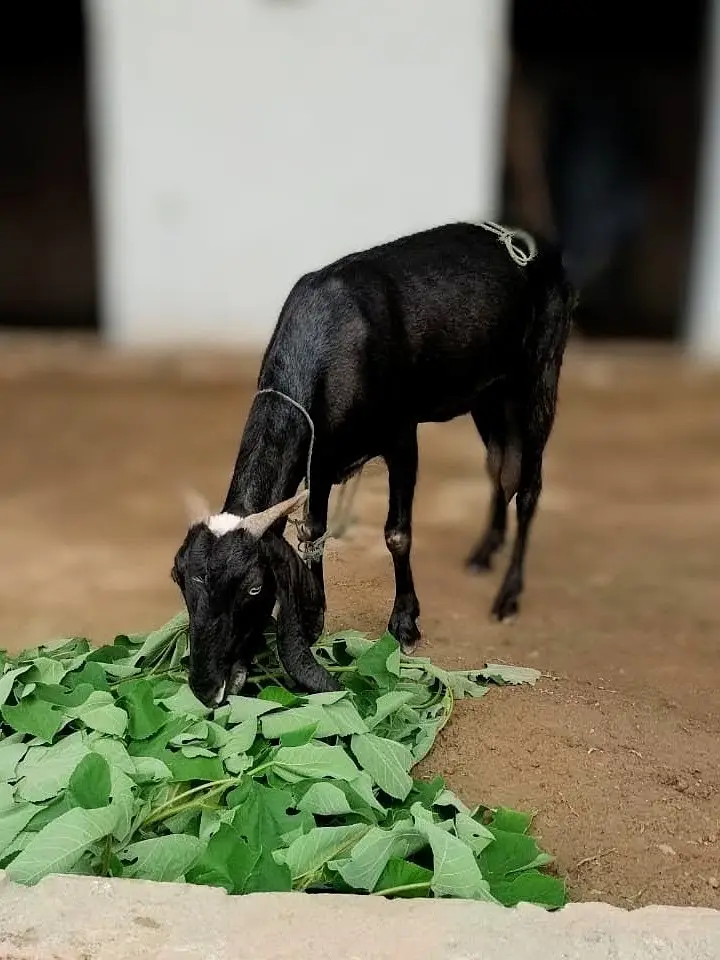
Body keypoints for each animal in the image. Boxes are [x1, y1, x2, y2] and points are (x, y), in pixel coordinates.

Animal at [172, 221, 575, 706]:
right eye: (180, 579)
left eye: (254, 586)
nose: (205, 686)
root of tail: (534, 242)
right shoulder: (321, 457)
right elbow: (314, 532)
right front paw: (315, 619)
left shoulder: (401, 436)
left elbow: (397, 534)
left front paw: (405, 624)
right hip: (488, 395)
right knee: (501, 469)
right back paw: (483, 552)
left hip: (539, 374)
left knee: (529, 486)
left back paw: (509, 596)